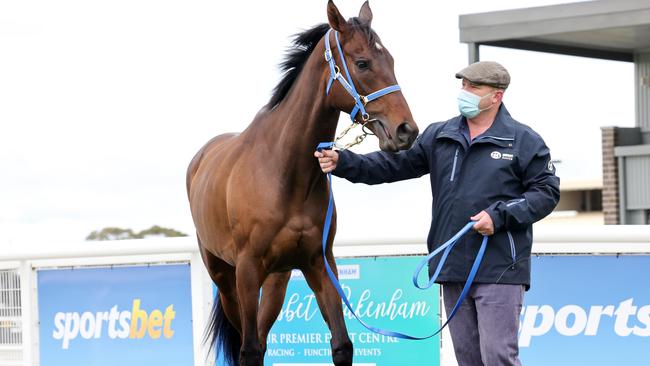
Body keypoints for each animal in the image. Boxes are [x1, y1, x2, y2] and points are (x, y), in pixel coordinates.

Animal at [185, 1, 418, 364]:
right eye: (362, 63)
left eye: (391, 60)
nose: (407, 130)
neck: (284, 173)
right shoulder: (246, 271)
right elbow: (248, 350)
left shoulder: (320, 264)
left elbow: (341, 343)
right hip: (224, 279)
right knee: (247, 344)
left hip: (277, 280)